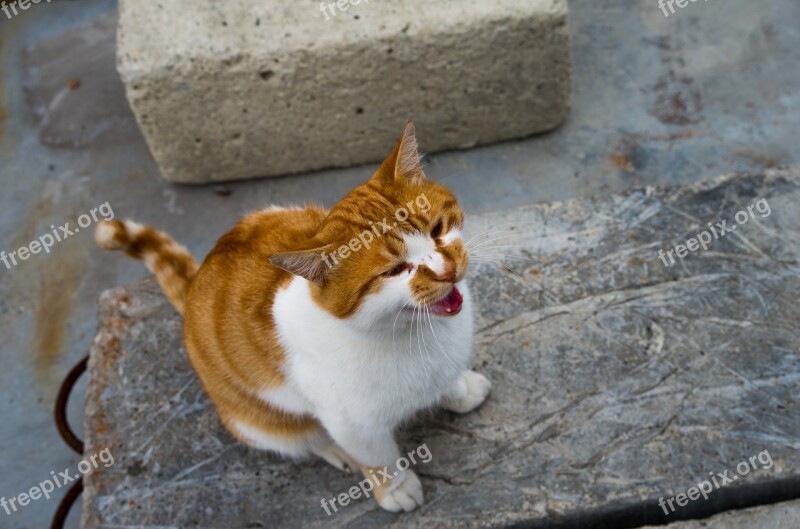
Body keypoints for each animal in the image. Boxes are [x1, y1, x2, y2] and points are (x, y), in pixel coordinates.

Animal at [97, 120, 490, 512]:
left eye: (437, 229)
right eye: (395, 271)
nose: (447, 270)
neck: (413, 331)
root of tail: (196, 283)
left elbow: (445, 380)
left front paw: (457, 389)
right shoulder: (351, 423)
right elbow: (377, 456)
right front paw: (395, 487)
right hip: (256, 422)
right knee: (300, 437)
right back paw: (331, 449)